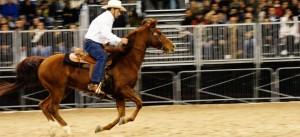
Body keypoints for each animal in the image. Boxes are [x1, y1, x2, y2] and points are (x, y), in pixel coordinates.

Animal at [0, 19, 175, 135]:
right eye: (158, 33)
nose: (172, 46)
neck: (125, 59)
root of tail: (43, 61)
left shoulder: (118, 94)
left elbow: (120, 114)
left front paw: (101, 128)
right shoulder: (124, 90)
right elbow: (139, 103)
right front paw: (125, 121)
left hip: (61, 90)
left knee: (43, 105)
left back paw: (53, 129)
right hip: (58, 89)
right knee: (53, 107)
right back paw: (66, 128)